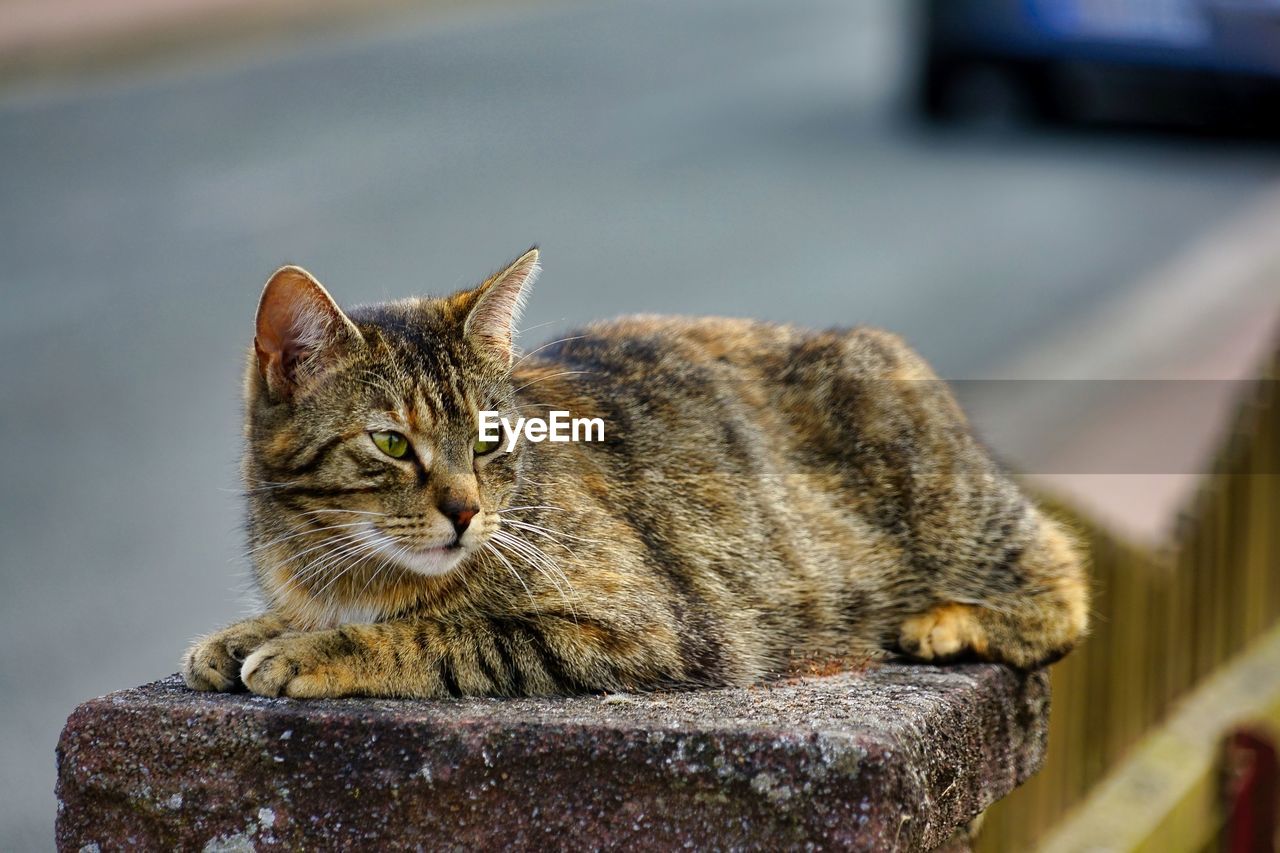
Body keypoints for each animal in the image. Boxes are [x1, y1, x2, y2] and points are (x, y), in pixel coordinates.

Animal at [183, 247, 1090, 696]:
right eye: (393, 444)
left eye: (487, 438)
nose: (467, 511)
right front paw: (243, 633)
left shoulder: (645, 628)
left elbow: (444, 635)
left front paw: (313, 650)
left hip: (956, 510)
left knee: (1062, 577)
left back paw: (948, 620)